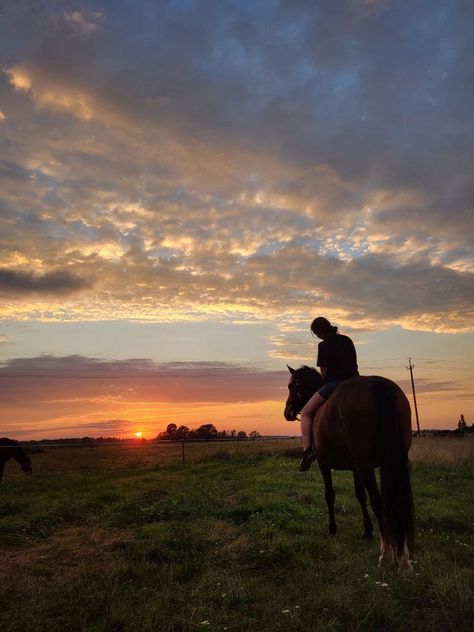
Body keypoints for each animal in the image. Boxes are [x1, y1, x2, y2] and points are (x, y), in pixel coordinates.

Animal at [284, 366, 412, 568]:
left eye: (292, 386)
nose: (287, 412)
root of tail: (377, 384)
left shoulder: (324, 463)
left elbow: (329, 495)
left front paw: (332, 529)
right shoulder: (355, 467)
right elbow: (360, 495)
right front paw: (367, 531)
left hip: (365, 464)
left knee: (377, 499)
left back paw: (386, 553)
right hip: (394, 459)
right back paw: (403, 555)